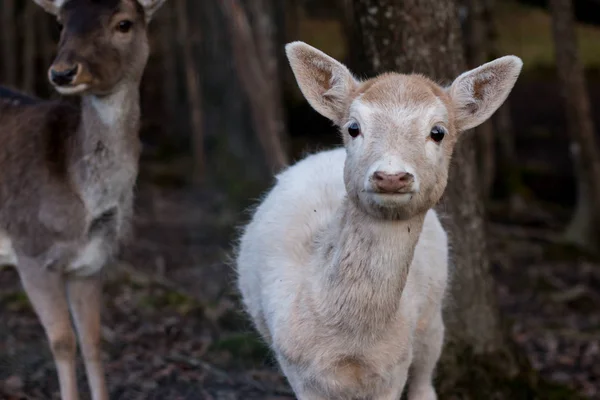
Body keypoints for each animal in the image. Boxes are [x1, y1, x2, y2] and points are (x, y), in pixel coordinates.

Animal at [0, 1, 166, 398]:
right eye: (62, 24)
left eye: (124, 24)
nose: (62, 72)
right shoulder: (31, 252)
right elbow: (63, 342)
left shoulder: (92, 262)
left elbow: (92, 341)